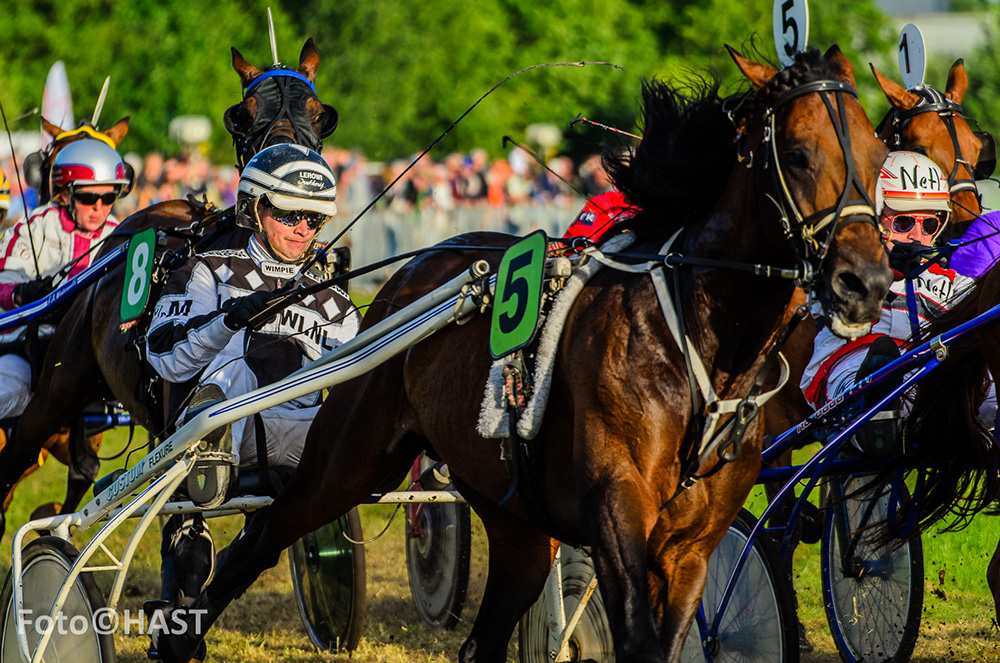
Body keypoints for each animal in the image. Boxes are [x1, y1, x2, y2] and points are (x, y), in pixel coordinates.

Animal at [162, 46, 892, 663]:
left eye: (880, 152)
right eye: (797, 153)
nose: (866, 280)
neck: (699, 348)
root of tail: (413, 270)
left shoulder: (692, 545)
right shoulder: (617, 514)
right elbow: (636, 638)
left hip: (512, 515)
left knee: (482, 635)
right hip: (347, 459)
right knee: (265, 534)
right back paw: (181, 630)